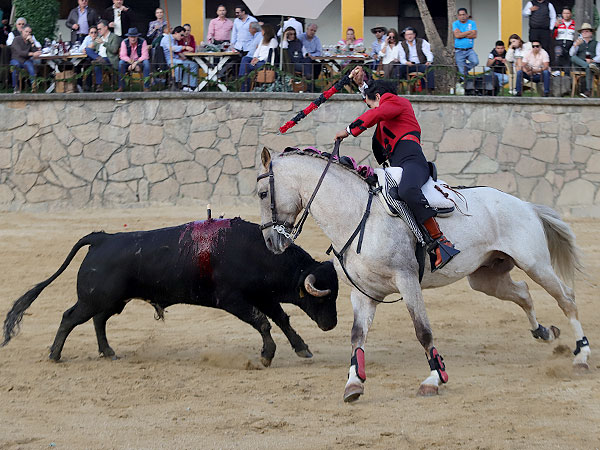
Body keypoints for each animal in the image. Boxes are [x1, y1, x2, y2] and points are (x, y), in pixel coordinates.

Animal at [1, 217, 338, 366]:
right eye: (324, 295)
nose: (331, 324)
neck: (259, 253)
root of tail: (102, 238)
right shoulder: (233, 300)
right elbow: (264, 323)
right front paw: (266, 356)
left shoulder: (263, 297)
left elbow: (282, 320)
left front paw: (302, 348)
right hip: (94, 298)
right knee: (70, 317)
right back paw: (55, 355)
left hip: (113, 301)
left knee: (99, 320)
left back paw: (108, 352)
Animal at [255, 147, 588, 400]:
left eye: (261, 193)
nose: (270, 242)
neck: (358, 215)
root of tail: (525, 205)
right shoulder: (363, 293)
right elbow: (357, 336)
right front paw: (354, 383)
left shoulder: (407, 282)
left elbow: (422, 330)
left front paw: (434, 379)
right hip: (486, 278)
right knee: (523, 293)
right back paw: (543, 332)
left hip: (536, 264)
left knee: (567, 299)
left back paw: (581, 356)